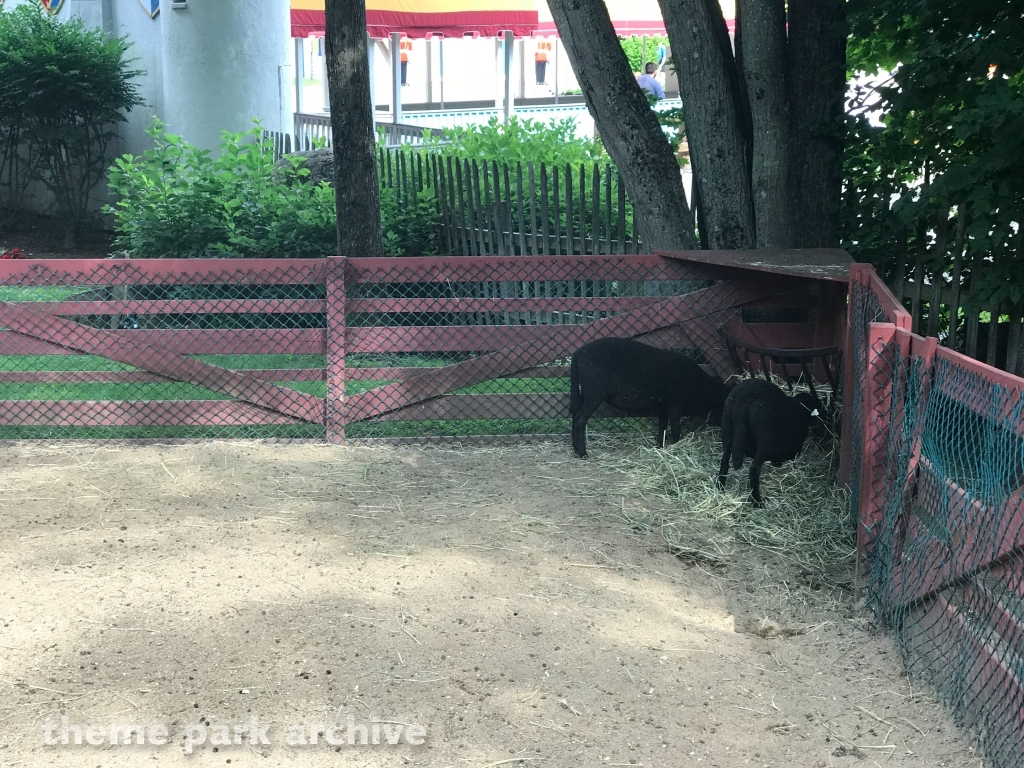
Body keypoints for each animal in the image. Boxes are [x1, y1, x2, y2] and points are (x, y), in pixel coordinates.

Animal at [569, 335, 729, 456]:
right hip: (594, 392)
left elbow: (663, 425)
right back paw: (583, 453)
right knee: (580, 419)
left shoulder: (663, 404)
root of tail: (578, 353)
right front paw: (674, 446)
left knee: (575, 414)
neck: (700, 385)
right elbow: (676, 427)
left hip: (584, 391)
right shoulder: (675, 402)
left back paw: (575, 449)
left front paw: (660, 446)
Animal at [720, 376, 823, 505]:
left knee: (724, 461)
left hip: (727, 428)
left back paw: (720, 489)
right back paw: (757, 502)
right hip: (765, 437)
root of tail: (742, 398)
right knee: (754, 469)